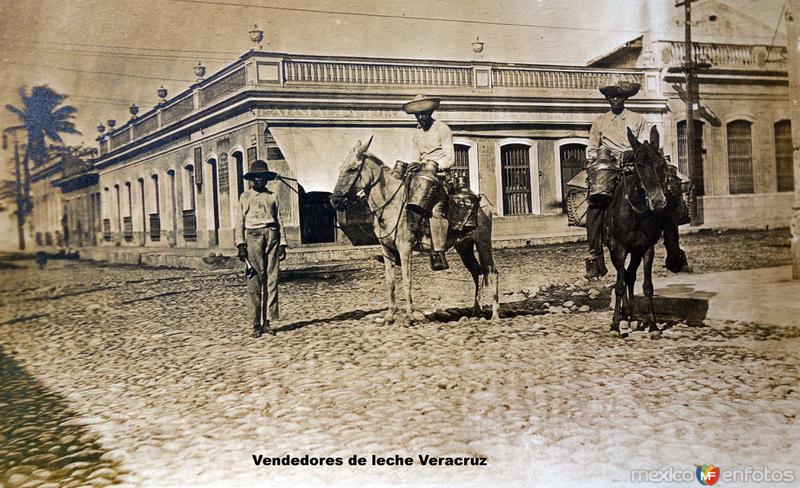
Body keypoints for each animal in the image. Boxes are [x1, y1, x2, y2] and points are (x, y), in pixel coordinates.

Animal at [328, 137, 496, 326]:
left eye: (352, 169)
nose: (335, 201)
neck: (391, 205)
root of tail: (482, 202)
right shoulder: (387, 251)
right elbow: (390, 282)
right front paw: (389, 317)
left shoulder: (405, 249)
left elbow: (406, 281)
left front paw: (408, 317)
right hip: (464, 247)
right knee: (477, 272)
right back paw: (476, 312)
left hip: (483, 243)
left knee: (492, 271)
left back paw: (495, 314)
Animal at [608, 127, 668, 340]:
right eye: (639, 164)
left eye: (662, 163)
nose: (658, 201)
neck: (636, 212)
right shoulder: (619, 249)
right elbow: (618, 286)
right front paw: (615, 325)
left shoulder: (647, 248)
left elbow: (648, 286)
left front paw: (653, 326)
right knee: (624, 276)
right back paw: (624, 319)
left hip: (635, 252)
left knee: (630, 275)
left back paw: (631, 317)